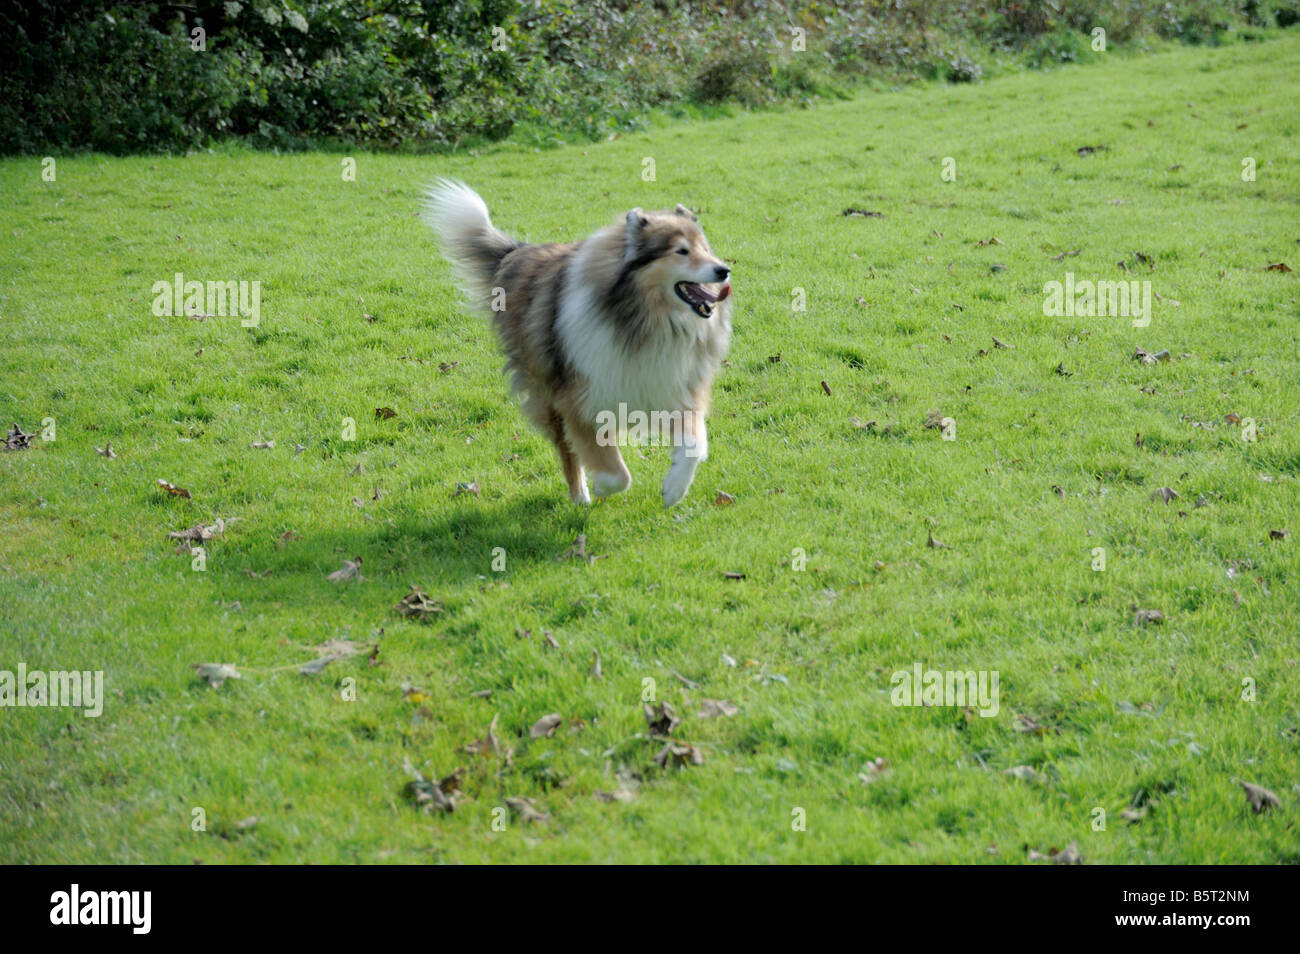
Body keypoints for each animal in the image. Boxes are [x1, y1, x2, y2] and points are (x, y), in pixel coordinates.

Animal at [426, 180, 733, 509]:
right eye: (681, 251)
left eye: (704, 248)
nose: (723, 270)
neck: (643, 319)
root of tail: (519, 252)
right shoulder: (580, 401)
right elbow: (617, 474)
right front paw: (602, 486)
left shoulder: (673, 389)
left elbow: (693, 444)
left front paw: (674, 489)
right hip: (547, 390)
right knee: (567, 452)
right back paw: (581, 495)